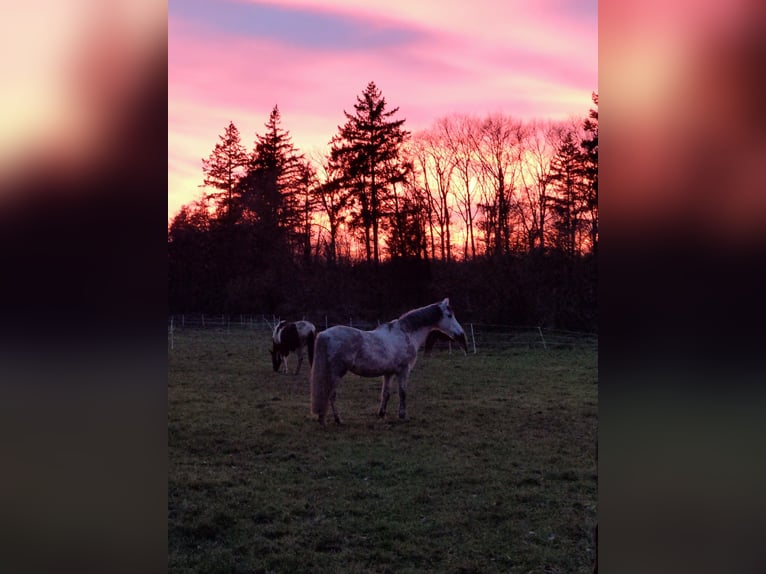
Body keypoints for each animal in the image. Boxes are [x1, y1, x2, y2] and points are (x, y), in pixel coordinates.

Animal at [310, 298, 467, 425]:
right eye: (449, 315)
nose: (461, 335)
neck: (405, 333)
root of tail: (324, 334)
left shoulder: (389, 373)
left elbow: (386, 394)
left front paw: (382, 414)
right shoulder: (403, 371)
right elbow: (403, 392)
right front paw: (403, 416)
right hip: (337, 373)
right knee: (331, 394)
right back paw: (337, 420)